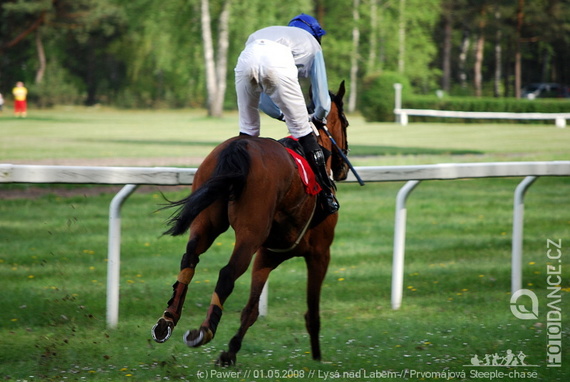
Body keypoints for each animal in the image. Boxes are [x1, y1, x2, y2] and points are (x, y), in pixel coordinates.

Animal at [149, 81, 348, 368]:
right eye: (346, 123)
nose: (343, 170)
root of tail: (239, 148)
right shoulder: (320, 253)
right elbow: (312, 311)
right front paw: (317, 358)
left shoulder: (267, 254)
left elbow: (251, 309)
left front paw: (230, 353)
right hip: (249, 234)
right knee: (227, 273)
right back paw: (204, 330)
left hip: (206, 222)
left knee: (189, 257)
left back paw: (168, 319)